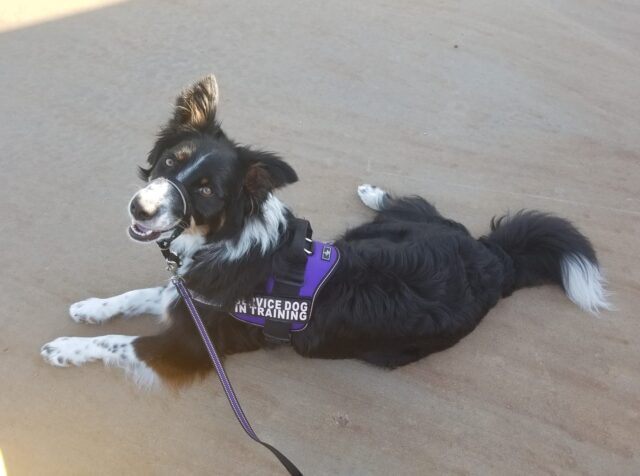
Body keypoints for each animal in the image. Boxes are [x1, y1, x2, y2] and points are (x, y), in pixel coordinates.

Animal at [40, 75, 608, 386]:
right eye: (168, 162)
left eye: (205, 191)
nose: (140, 208)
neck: (225, 239)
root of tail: (493, 260)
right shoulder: (188, 291)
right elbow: (139, 295)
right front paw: (91, 307)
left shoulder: (193, 347)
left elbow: (118, 342)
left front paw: (65, 348)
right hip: (396, 232)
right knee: (423, 210)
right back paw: (375, 193)